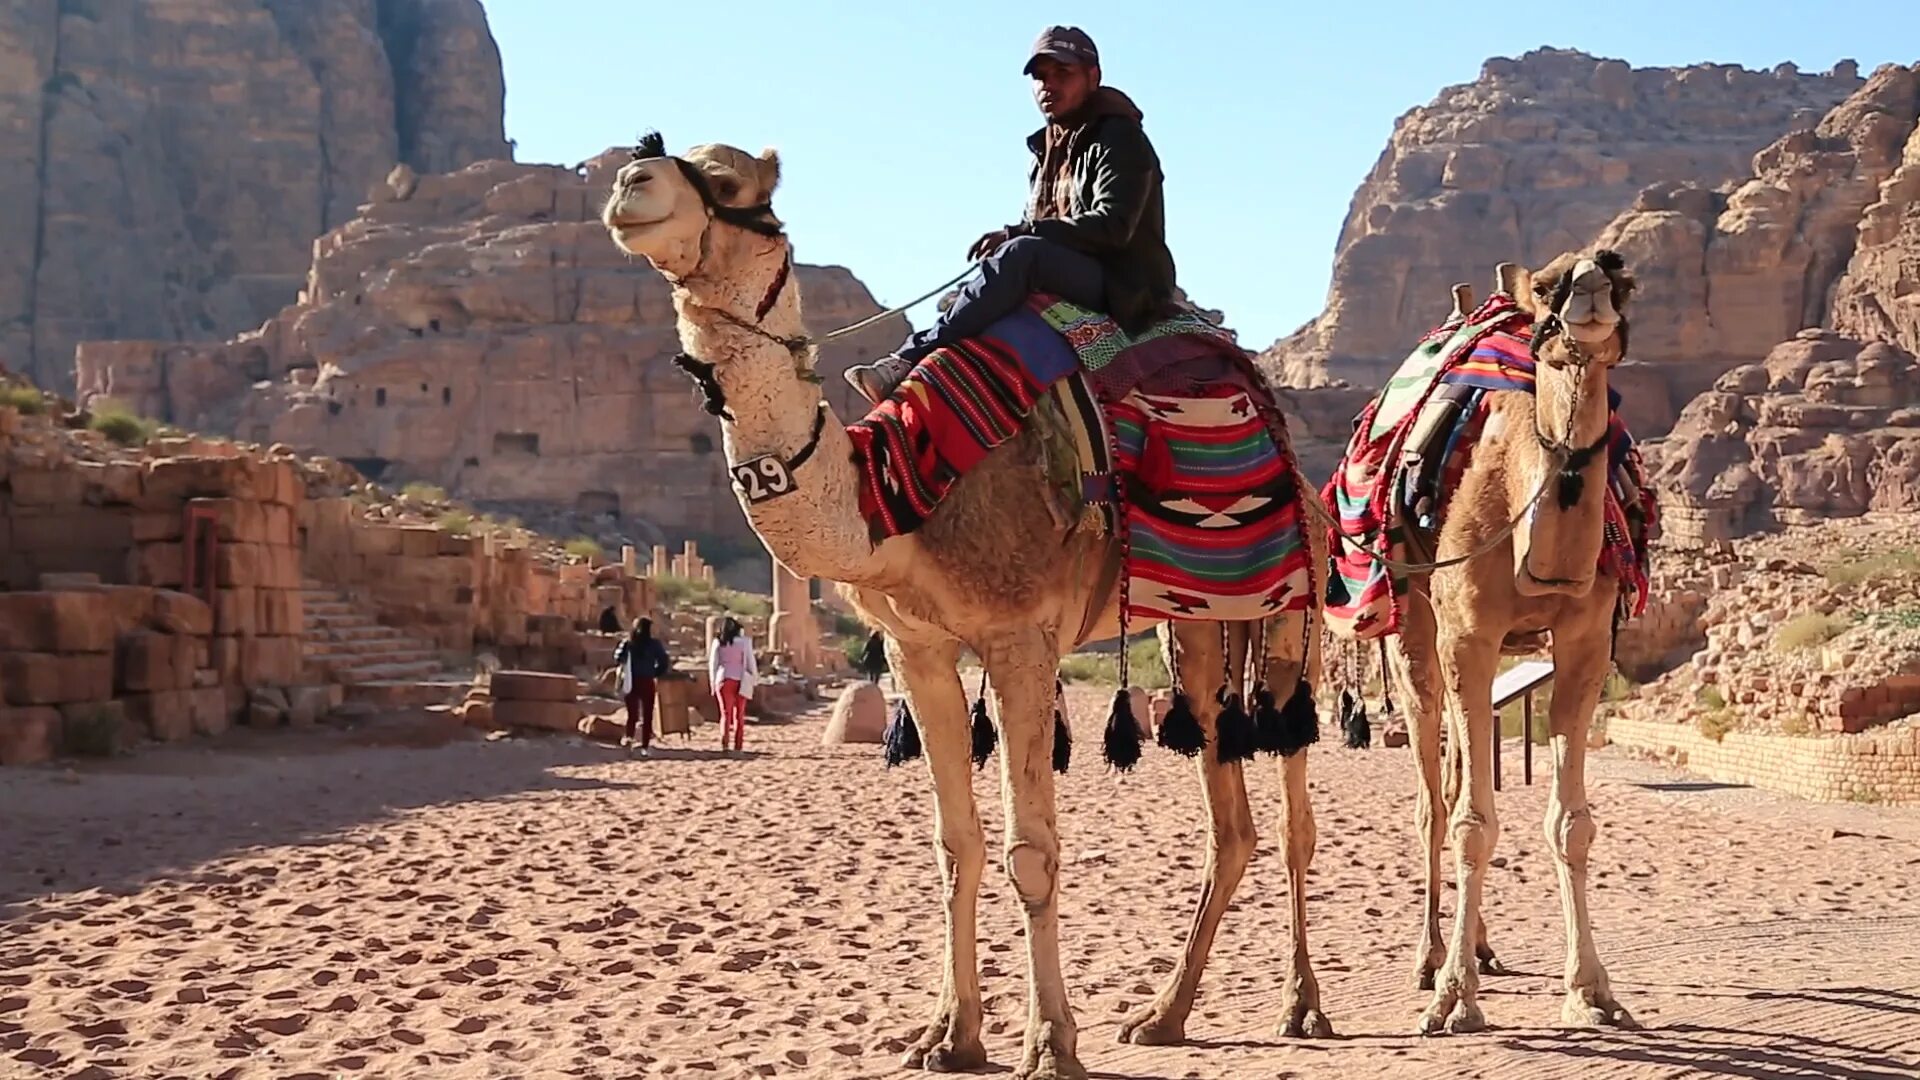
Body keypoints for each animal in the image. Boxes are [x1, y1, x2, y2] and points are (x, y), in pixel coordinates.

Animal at [599, 136, 1336, 1076]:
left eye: (727, 179)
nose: (631, 180)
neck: (895, 493)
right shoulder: (917, 648)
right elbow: (958, 845)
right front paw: (948, 1036)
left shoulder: (1020, 637)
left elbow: (1032, 852)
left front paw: (1050, 1044)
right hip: (1196, 622)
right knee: (1230, 821)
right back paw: (1164, 1016)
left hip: (1291, 606)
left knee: (1294, 818)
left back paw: (1303, 1006)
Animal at [1328, 247, 1658, 1030]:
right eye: (1548, 283)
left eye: (1623, 277)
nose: (1589, 292)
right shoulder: (1468, 635)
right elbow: (1472, 821)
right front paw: (1453, 999)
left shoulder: (1586, 643)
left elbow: (1571, 824)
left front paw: (1592, 990)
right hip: (1415, 627)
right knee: (1433, 796)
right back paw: (1430, 958)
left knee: (1453, 776)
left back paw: (1477, 945)